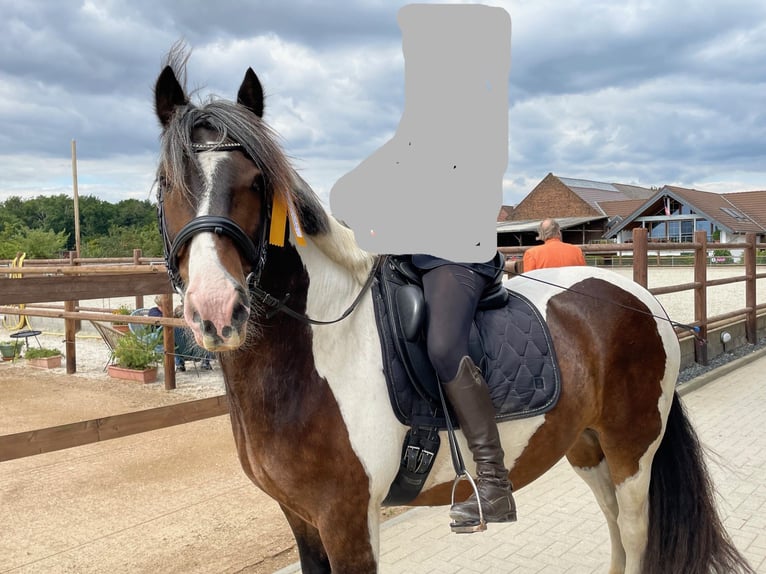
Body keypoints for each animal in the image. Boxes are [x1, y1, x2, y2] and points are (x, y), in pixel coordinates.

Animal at [152, 52, 753, 574]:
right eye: (166, 183)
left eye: (257, 183)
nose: (216, 308)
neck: (318, 357)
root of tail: (641, 299)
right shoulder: (300, 519)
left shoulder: (347, 521)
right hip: (588, 446)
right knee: (615, 535)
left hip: (632, 452)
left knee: (633, 534)